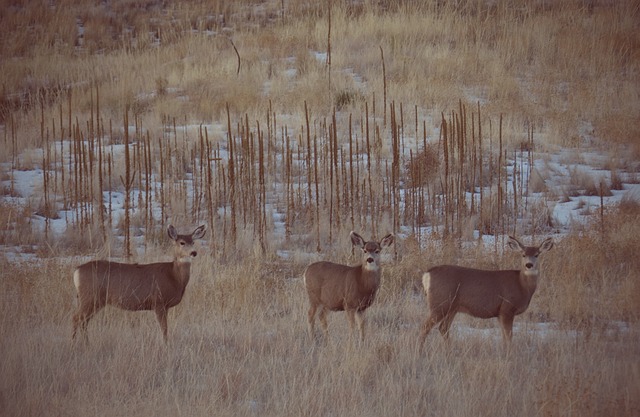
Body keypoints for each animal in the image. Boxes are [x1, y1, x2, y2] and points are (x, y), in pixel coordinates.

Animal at [73, 224, 208, 342]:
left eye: (193, 242)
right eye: (182, 242)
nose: (193, 253)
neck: (174, 277)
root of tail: (77, 271)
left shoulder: (165, 306)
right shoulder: (158, 301)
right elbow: (164, 330)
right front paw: (165, 345)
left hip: (94, 300)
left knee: (83, 321)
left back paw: (86, 343)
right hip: (90, 296)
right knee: (77, 319)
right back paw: (75, 343)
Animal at [420, 236, 556, 350]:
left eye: (537, 255)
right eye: (523, 255)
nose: (529, 265)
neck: (521, 286)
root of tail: (427, 274)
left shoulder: (500, 313)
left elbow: (504, 336)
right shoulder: (507, 308)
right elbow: (509, 336)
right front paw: (509, 354)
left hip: (452, 307)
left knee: (443, 328)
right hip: (440, 303)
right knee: (425, 327)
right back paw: (420, 351)